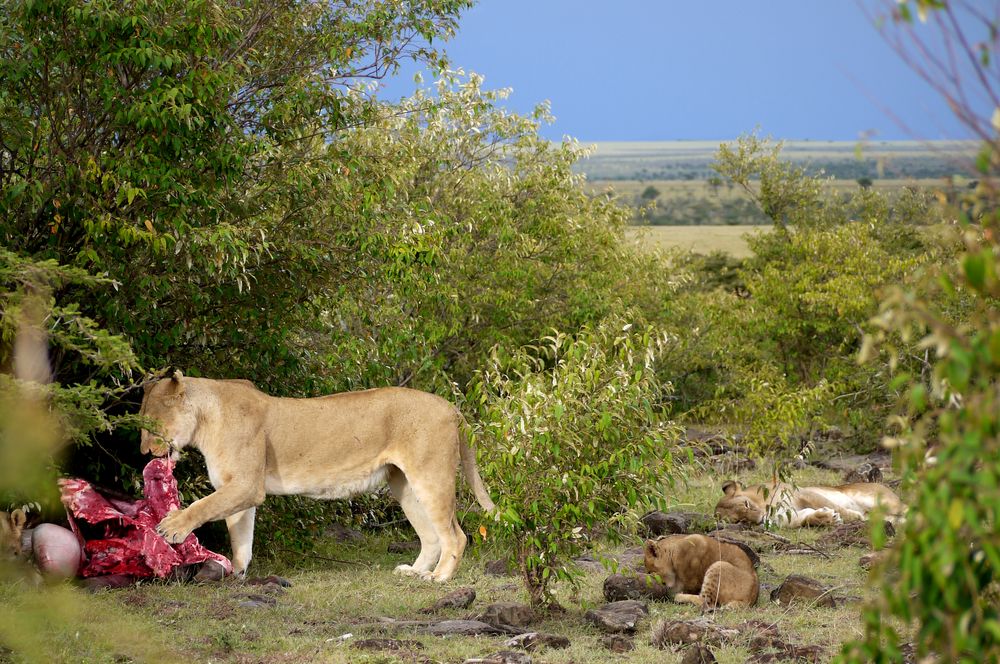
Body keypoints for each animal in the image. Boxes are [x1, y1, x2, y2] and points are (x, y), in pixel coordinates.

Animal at [139, 370, 498, 584]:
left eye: (150, 423)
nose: (144, 453)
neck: (205, 419)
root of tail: (450, 406)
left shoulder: (246, 485)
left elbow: (202, 505)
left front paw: (172, 526)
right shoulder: (237, 487)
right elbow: (240, 535)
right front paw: (237, 573)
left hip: (431, 476)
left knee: (456, 536)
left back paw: (439, 578)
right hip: (405, 485)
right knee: (431, 536)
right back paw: (414, 571)